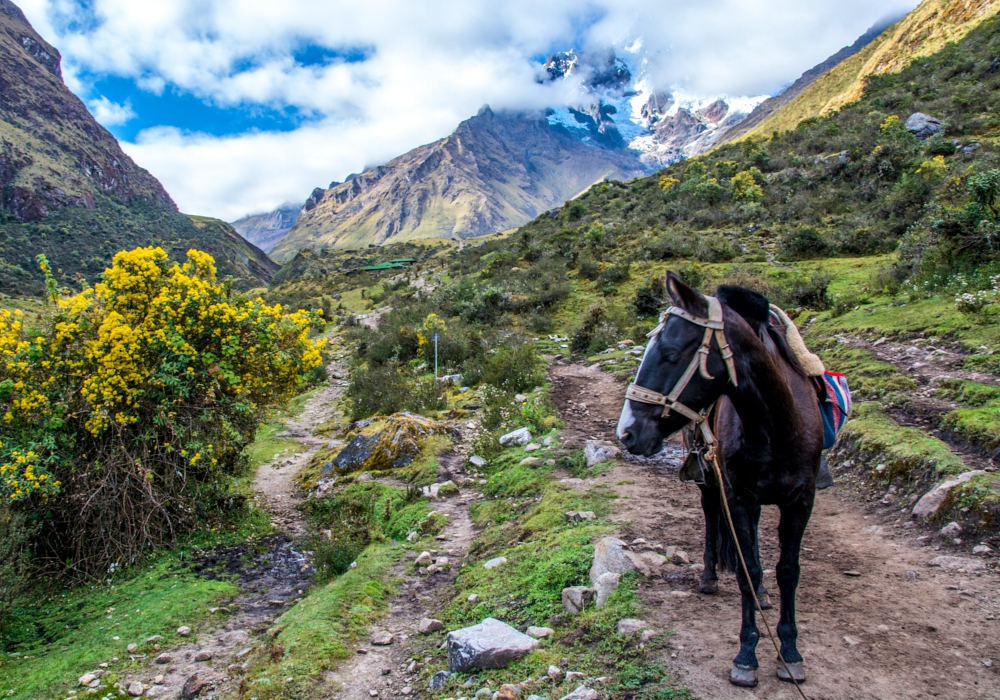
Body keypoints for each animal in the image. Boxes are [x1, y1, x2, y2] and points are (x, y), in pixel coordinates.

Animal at [616, 270, 820, 688]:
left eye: (670, 353)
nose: (626, 433)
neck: (776, 425)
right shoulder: (738, 495)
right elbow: (746, 570)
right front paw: (746, 656)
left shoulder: (801, 500)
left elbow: (788, 571)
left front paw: (790, 653)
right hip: (710, 480)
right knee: (712, 515)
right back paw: (710, 576)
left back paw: (764, 596)